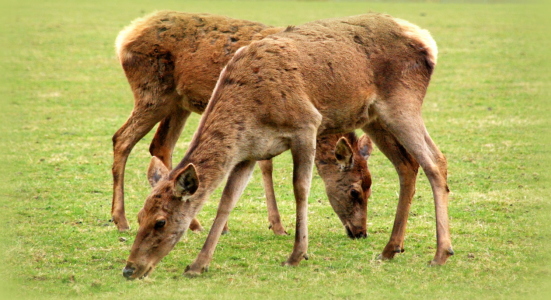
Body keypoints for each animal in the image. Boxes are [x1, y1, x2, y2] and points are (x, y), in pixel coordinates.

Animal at [111, 10, 376, 237]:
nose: (361, 232)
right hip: (152, 93)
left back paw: (193, 222)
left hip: (177, 103)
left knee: (161, 145)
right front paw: (277, 226)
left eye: (370, 186)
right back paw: (121, 219)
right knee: (121, 138)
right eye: (354, 190)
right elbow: (265, 166)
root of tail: (124, 37)